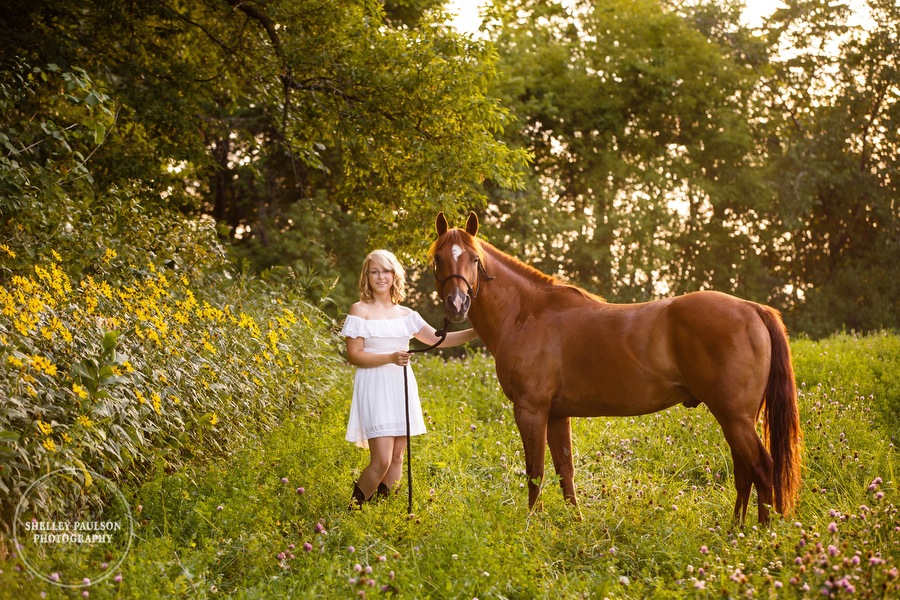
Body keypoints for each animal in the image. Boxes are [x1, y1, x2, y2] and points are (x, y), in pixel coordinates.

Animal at [428, 213, 800, 524]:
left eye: (474, 259)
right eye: (439, 258)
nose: (457, 304)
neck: (526, 313)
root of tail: (752, 308)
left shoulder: (531, 410)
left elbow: (536, 471)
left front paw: (532, 524)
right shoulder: (557, 414)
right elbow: (565, 469)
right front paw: (574, 523)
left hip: (735, 417)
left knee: (762, 469)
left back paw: (760, 532)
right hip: (735, 417)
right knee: (745, 471)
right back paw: (736, 528)